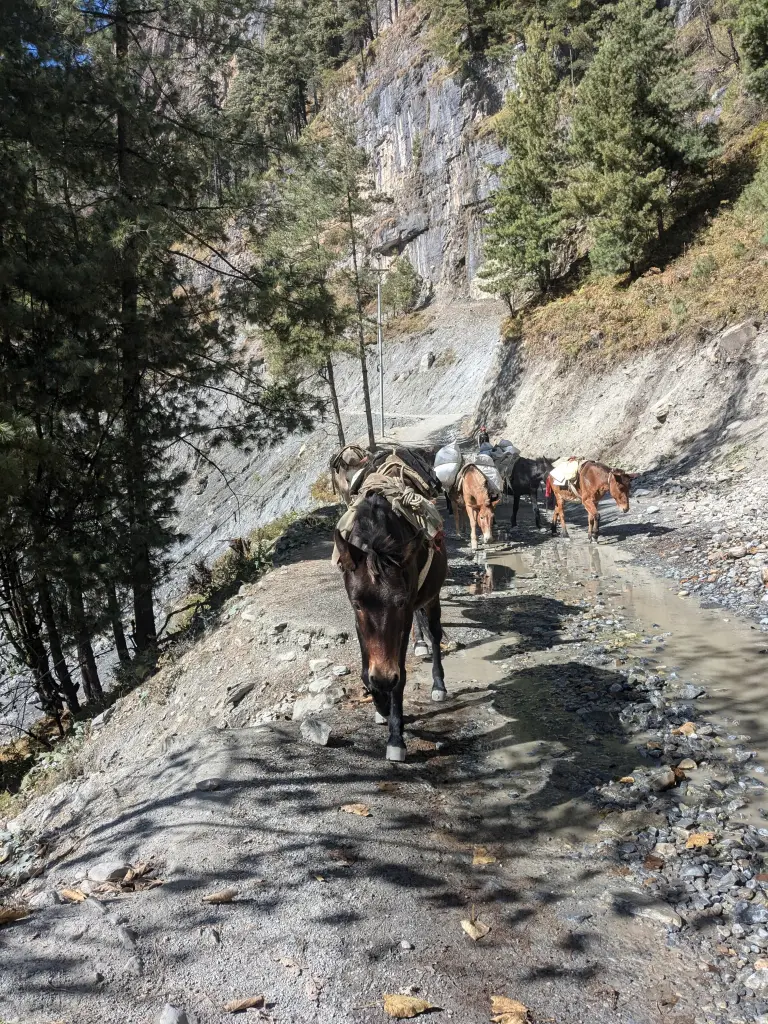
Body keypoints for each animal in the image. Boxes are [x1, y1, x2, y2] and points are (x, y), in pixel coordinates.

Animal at [333, 491, 448, 765]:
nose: (384, 678)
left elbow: (400, 678)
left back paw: (438, 685)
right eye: (357, 604)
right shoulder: (359, 622)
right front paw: (381, 706)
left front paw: (396, 736)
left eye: (400, 602)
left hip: (432, 597)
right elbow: (366, 673)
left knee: (435, 634)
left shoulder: (404, 617)